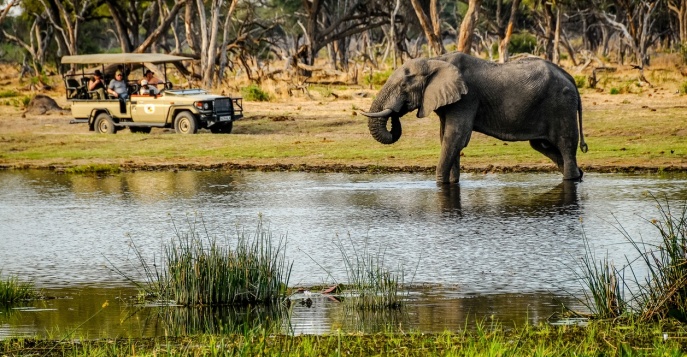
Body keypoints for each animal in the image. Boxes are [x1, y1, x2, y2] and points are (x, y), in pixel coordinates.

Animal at [360, 52, 592, 184]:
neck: (435, 60)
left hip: (561, 105)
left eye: (403, 85)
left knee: (565, 145)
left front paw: (440, 184)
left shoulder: (467, 98)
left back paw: (572, 178)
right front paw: (451, 183)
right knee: (543, 146)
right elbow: (446, 139)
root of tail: (571, 78)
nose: (396, 112)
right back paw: (579, 175)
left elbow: (455, 137)